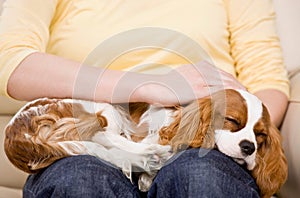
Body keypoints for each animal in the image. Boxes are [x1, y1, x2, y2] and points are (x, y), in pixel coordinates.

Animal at [4, 89, 286, 197]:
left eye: (260, 135)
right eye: (231, 120)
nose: (249, 147)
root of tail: (13, 131)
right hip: (100, 111)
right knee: (100, 135)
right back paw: (147, 155)